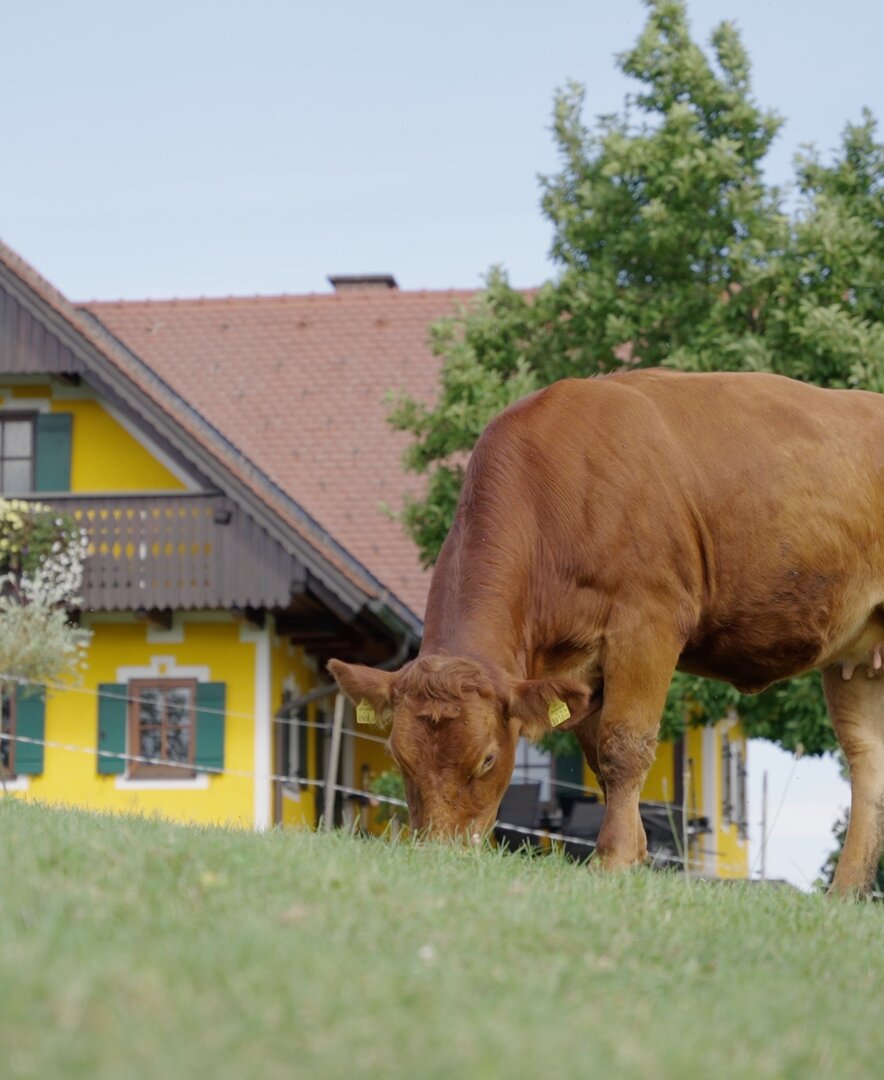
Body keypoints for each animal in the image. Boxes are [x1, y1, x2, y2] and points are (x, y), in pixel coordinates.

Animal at [330, 371, 884, 894]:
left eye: (487, 759)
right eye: (399, 757)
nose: (440, 853)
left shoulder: (647, 624)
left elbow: (625, 746)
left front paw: (614, 859)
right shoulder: (576, 666)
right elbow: (600, 758)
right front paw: (635, 853)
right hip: (857, 660)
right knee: (868, 763)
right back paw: (843, 894)